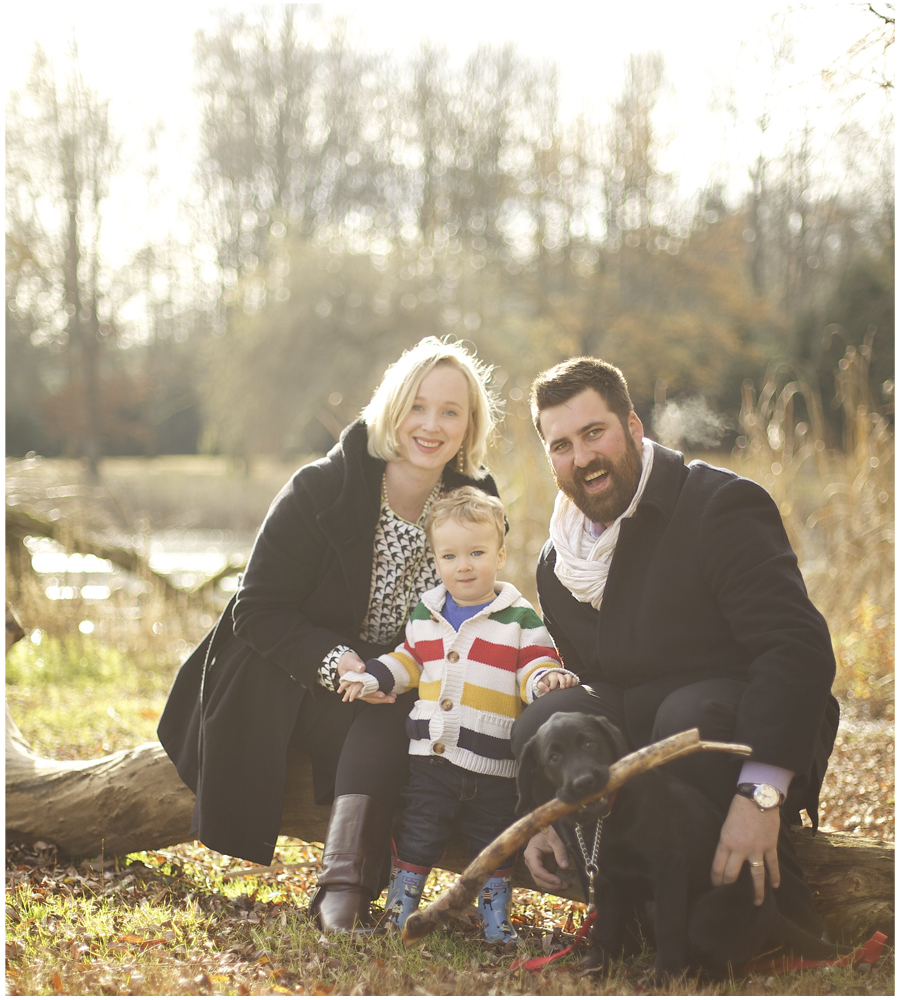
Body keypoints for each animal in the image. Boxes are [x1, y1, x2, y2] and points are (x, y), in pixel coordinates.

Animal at [516, 712, 848, 976]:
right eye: (554, 758)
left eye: (589, 744)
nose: (584, 782)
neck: (603, 822)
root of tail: (772, 914)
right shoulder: (603, 877)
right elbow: (604, 928)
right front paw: (596, 968)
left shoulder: (669, 867)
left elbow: (670, 926)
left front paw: (664, 976)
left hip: (706, 918)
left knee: (727, 965)